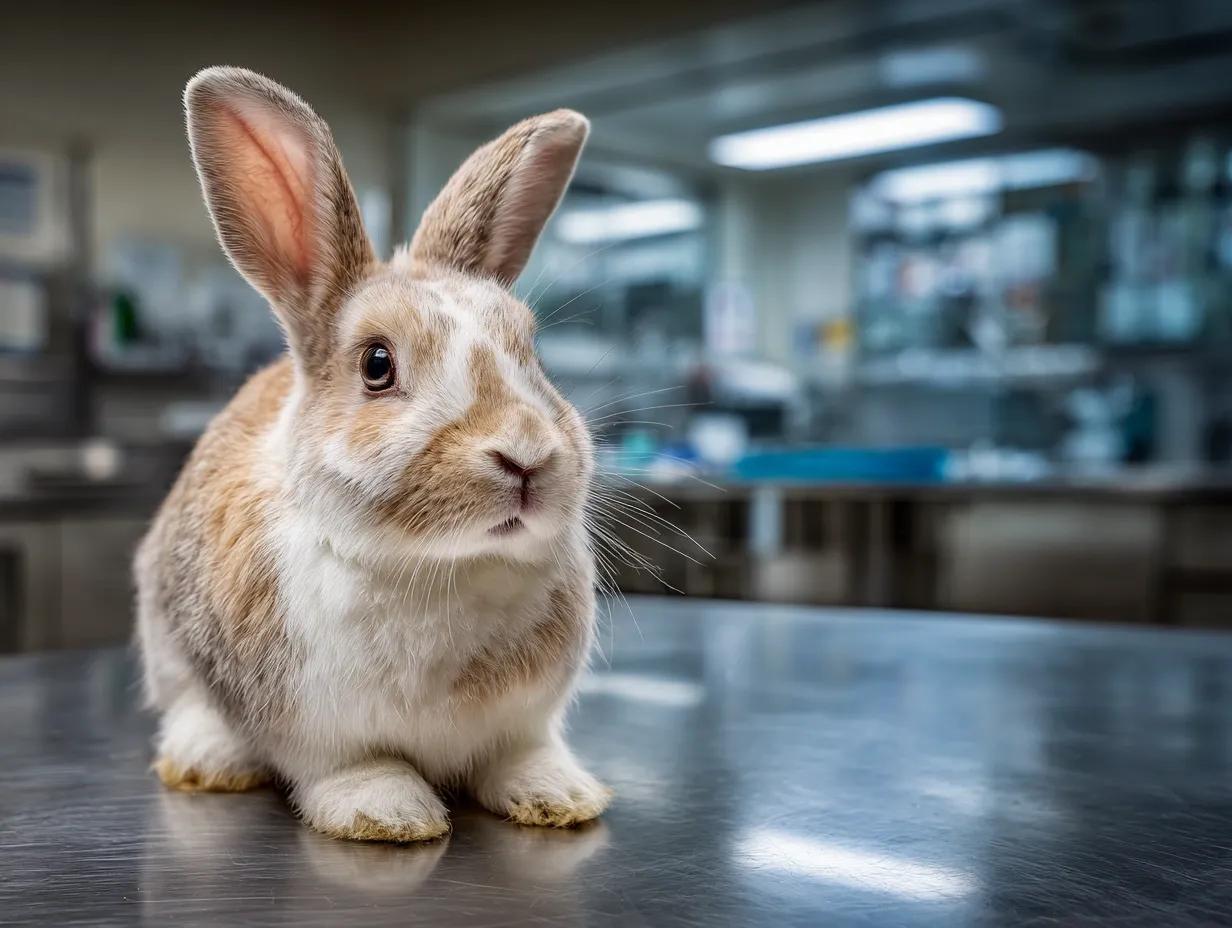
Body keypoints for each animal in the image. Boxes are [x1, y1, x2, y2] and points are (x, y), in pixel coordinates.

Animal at [134, 66, 612, 842]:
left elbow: (521, 754)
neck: (443, 566)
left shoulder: (523, 721)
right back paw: (207, 759)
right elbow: (356, 768)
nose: (526, 457)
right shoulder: (320, 729)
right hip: (167, 641)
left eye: (532, 351)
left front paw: (560, 796)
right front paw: (388, 813)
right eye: (377, 365)